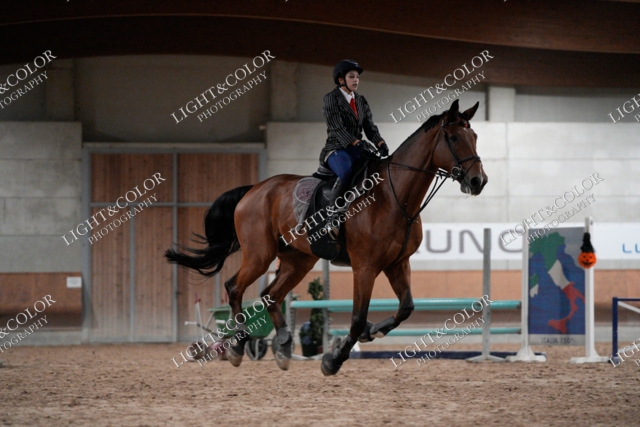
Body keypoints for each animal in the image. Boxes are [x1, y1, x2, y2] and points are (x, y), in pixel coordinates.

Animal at [165, 99, 487, 376]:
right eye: (454, 138)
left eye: (475, 137)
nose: (478, 181)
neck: (394, 196)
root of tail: (254, 189)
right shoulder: (365, 267)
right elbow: (357, 320)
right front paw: (334, 358)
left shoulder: (397, 264)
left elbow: (405, 308)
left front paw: (374, 331)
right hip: (259, 255)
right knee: (235, 288)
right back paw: (238, 346)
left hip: (298, 260)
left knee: (271, 295)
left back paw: (283, 347)